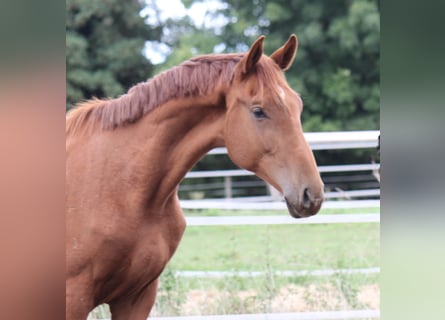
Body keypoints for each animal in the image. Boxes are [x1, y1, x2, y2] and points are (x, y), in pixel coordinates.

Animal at [66, 35, 322, 318]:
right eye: (258, 111)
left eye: (297, 105)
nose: (312, 194)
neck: (119, 188)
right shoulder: (74, 298)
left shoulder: (137, 298)